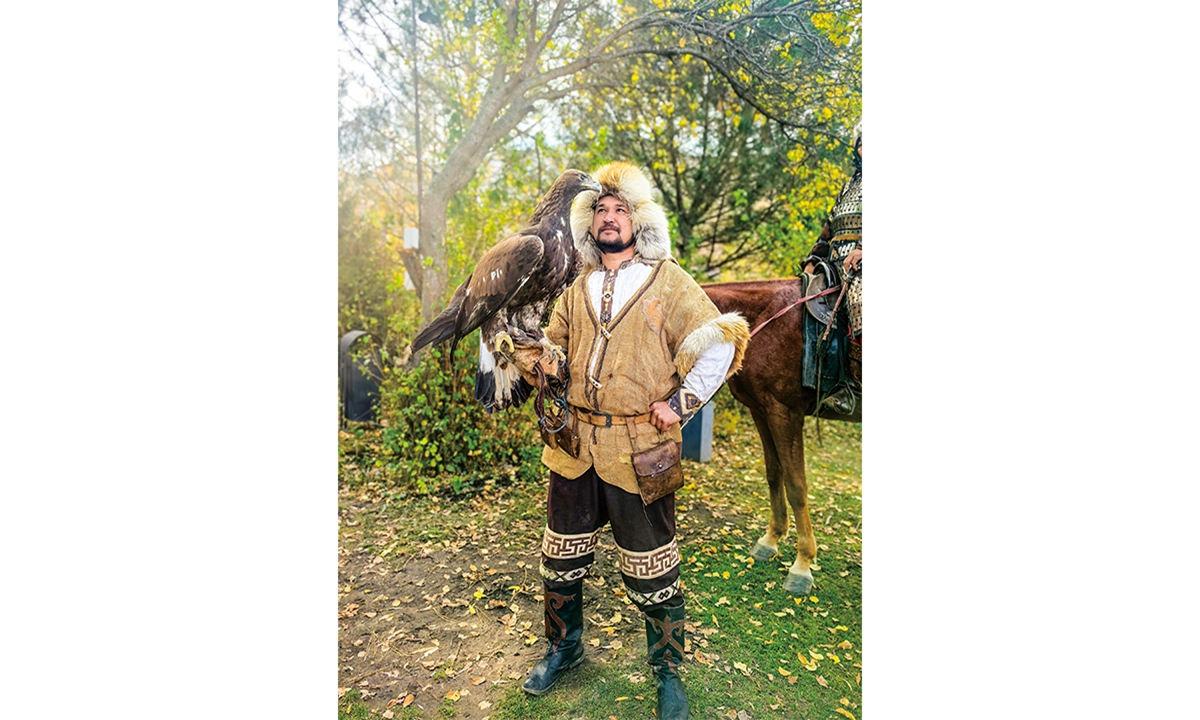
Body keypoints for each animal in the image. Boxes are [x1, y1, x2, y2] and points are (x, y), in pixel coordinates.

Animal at [700, 278, 864, 592]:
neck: (763, 320)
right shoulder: (761, 410)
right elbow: (774, 473)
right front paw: (770, 540)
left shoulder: (785, 412)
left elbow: (796, 485)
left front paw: (802, 565)